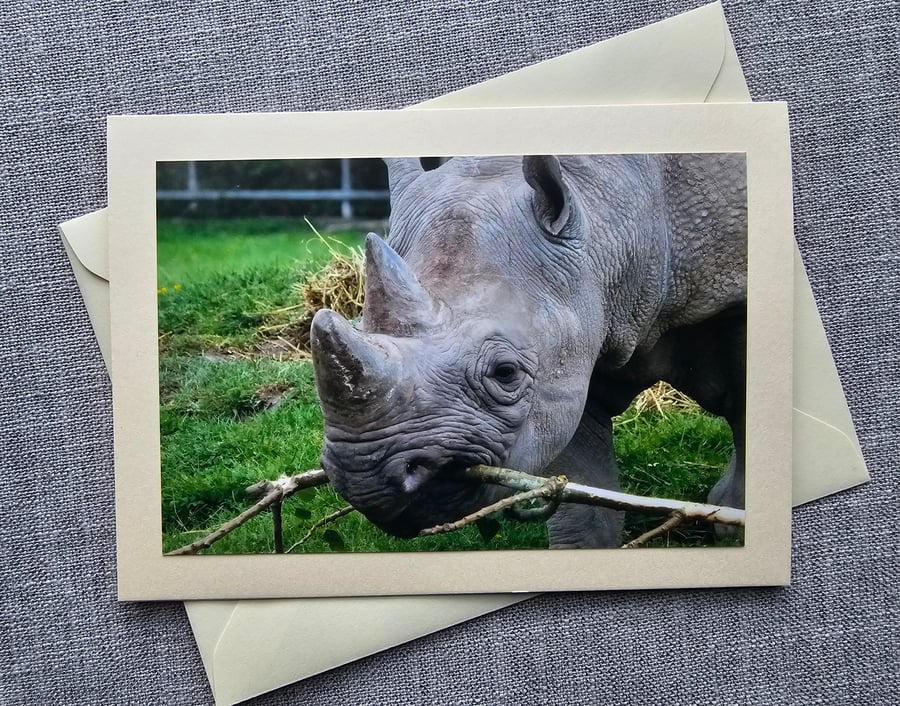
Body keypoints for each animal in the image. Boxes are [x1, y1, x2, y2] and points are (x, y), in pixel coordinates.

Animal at [310, 154, 746, 548]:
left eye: (505, 373)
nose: (365, 475)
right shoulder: (573, 337)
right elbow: (582, 488)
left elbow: (745, 410)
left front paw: (732, 525)